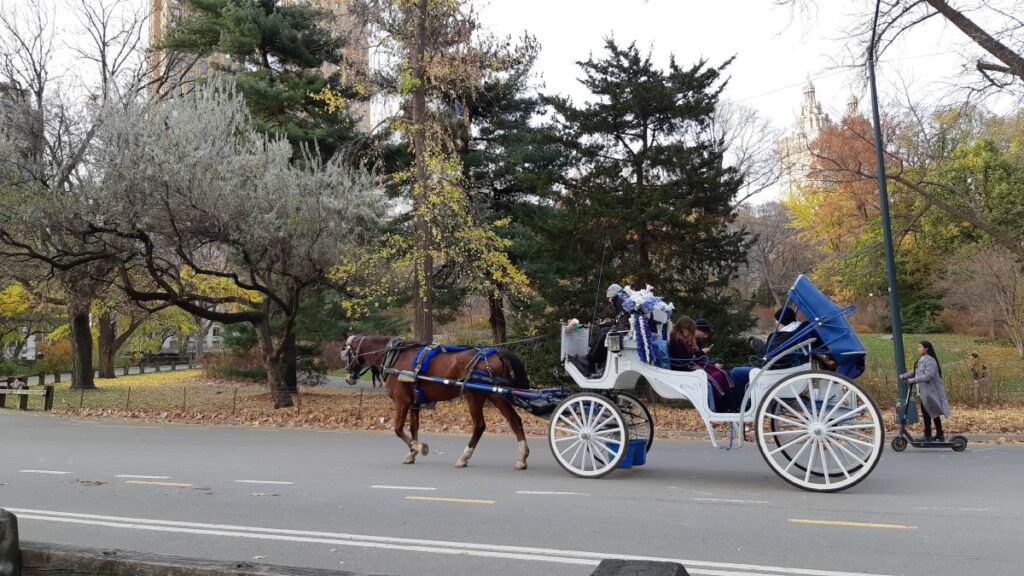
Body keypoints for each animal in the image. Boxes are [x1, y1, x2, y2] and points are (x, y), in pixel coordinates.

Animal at [346, 334, 536, 469]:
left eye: (347, 353)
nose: (348, 376)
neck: (394, 357)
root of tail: (497, 353)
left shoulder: (402, 401)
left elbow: (398, 429)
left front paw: (418, 448)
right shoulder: (414, 403)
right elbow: (413, 428)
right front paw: (412, 453)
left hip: (475, 395)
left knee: (479, 425)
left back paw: (464, 457)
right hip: (497, 394)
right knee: (514, 420)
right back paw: (522, 458)